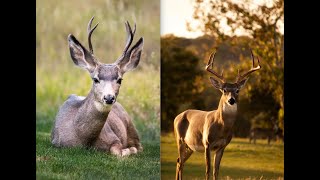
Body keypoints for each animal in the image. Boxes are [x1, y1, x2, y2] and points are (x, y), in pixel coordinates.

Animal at [51, 17, 144, 158]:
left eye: (120, 80)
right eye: (95, 79)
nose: (109, 98)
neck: (84, 140)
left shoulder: (114, 138)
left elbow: (117, 151)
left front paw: (128, 150)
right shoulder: (56, 142)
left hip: (130, 125)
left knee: (140, 146)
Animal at [174, 49, 262, 180]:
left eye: (237, 90)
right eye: (224, 90)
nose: (231, 100)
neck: (221, 127)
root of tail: (177, 116)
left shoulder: (222, 146)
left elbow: (216, 171)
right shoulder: (207, 143)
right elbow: (208, 170)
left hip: (190, 146)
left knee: (180, 161)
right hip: (180, 139)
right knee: (180, 163)